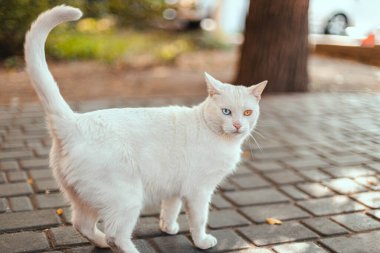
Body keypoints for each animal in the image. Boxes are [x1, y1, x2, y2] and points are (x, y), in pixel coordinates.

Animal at [23, 4, 268, 253]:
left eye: (247, 113)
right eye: (226, 111)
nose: (237, 125)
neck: (222, 139)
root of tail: (73, 122)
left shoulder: (174, 189)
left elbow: (169, 209)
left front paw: (168, 228)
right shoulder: (198, 191)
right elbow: (199, 220)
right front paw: (202, 241)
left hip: (85, 199)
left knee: (82, 225)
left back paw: (100, 243)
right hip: (127, 198)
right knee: (115, 235)